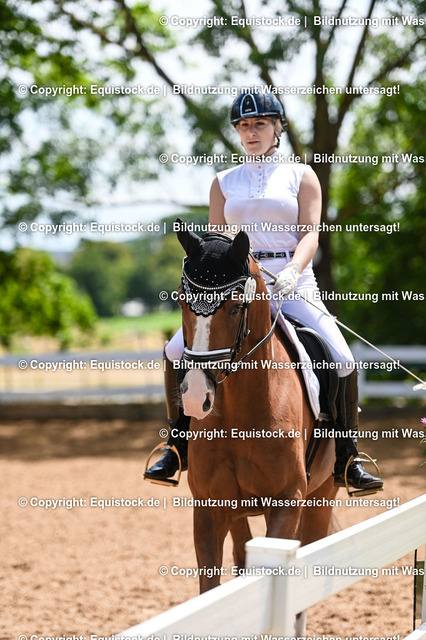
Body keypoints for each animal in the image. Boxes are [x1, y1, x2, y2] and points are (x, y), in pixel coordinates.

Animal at [176, 226, 338, 634]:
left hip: (321, 496)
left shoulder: (287, 502)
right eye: (183, 303)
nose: (196, 397)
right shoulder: (209, 509)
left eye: (235, 307)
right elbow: (211, 592)